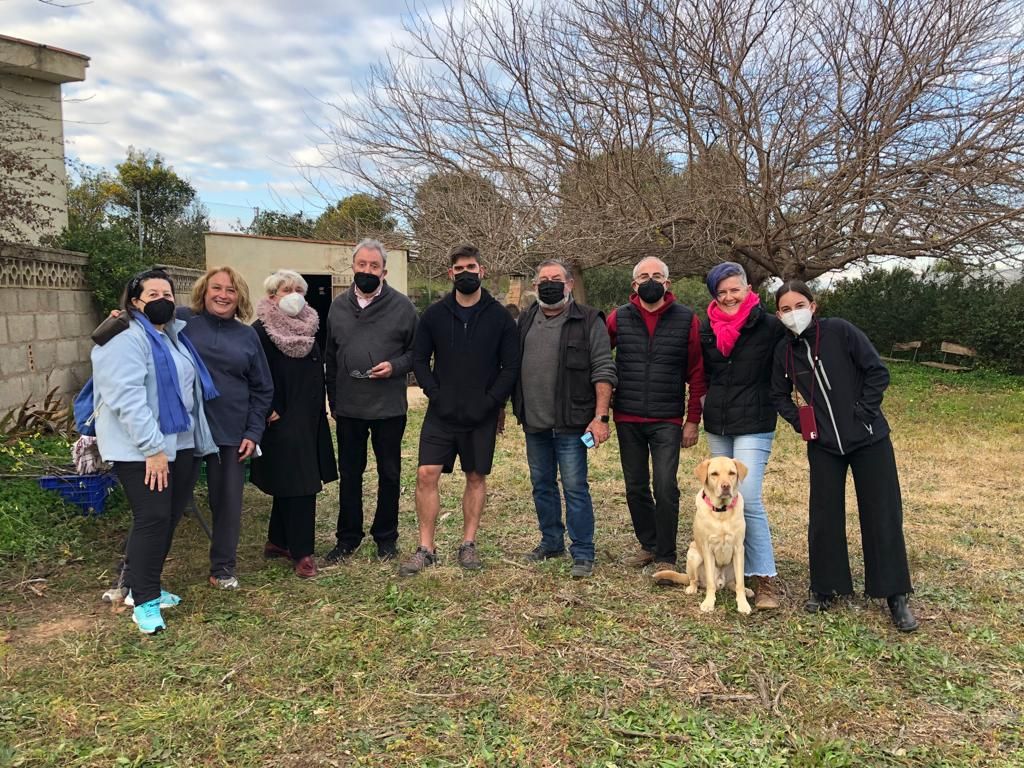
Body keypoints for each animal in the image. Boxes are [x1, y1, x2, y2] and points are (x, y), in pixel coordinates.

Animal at [655, 460, 753, 618]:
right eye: (714, 474)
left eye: (732, 473)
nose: (726, 486)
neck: (722, 512)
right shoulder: (708, 549)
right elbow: (711, 584)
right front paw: (709, 603)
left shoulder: (738, 549)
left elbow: (740, 583)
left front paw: (743, 604)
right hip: (694, 555)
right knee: (695, 580)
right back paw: (692, 588)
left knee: (733, 583)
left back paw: (747, 591)